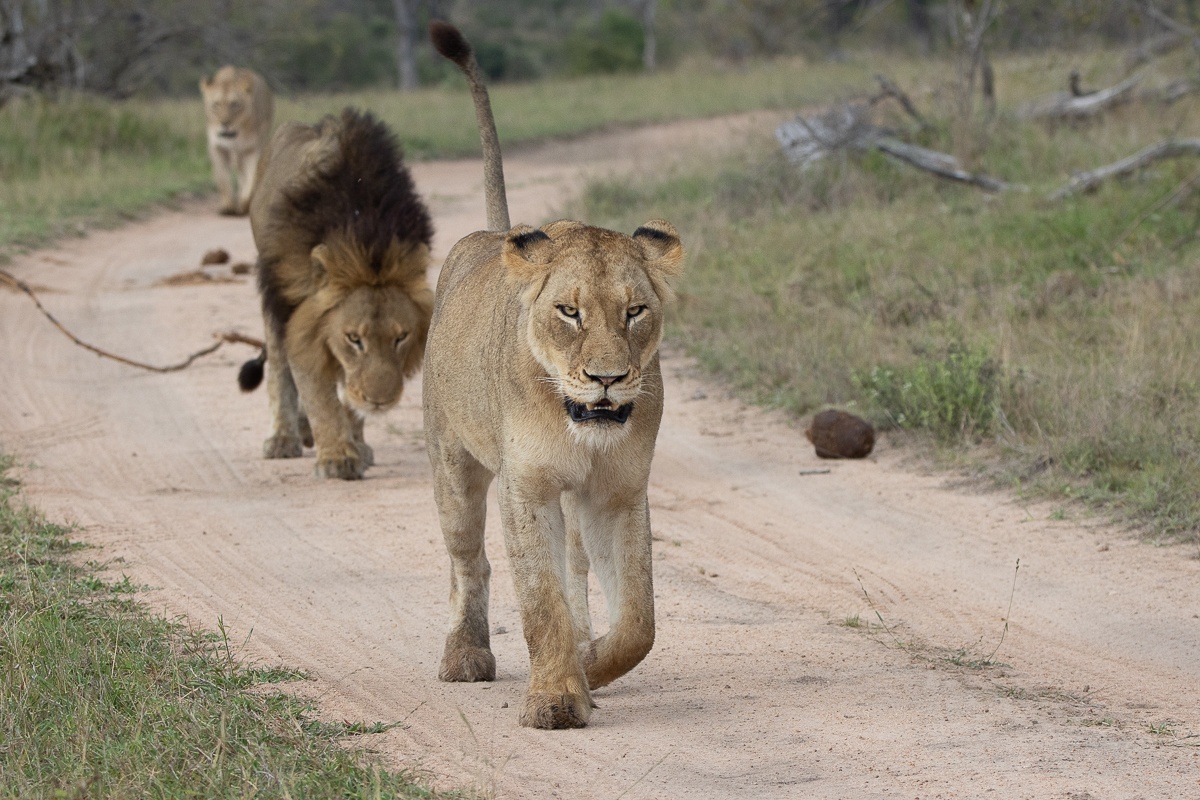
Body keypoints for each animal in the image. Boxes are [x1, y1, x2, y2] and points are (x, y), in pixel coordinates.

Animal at [200, 66, 273, 216]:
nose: (225, 123)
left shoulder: (252, 149)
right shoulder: (217, 148)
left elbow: (251, 177)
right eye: (216, 105)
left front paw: (245, 205)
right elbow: (223, 179)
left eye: (235, 104)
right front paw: (228, 207)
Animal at [239, 108, 434, 480]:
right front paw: (337, 459)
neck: (367, 234)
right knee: (279, 369)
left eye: (401, 337)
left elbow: (346, 395)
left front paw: (356, 443)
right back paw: (284, 437)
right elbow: (319, 395)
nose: (379, 400)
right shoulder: (297, 313)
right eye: (354, 338)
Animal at [425, 21, 685, 729]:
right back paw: (465, 656)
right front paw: (557, 697)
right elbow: (541, 601)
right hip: (452, 467)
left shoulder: (618, 490)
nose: (607, 379)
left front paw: (590, 665)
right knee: (470, 562)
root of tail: (492, 235)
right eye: (569, 312)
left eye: (635, 311)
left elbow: (638, 623)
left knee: (575, 576)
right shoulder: (529, 487)